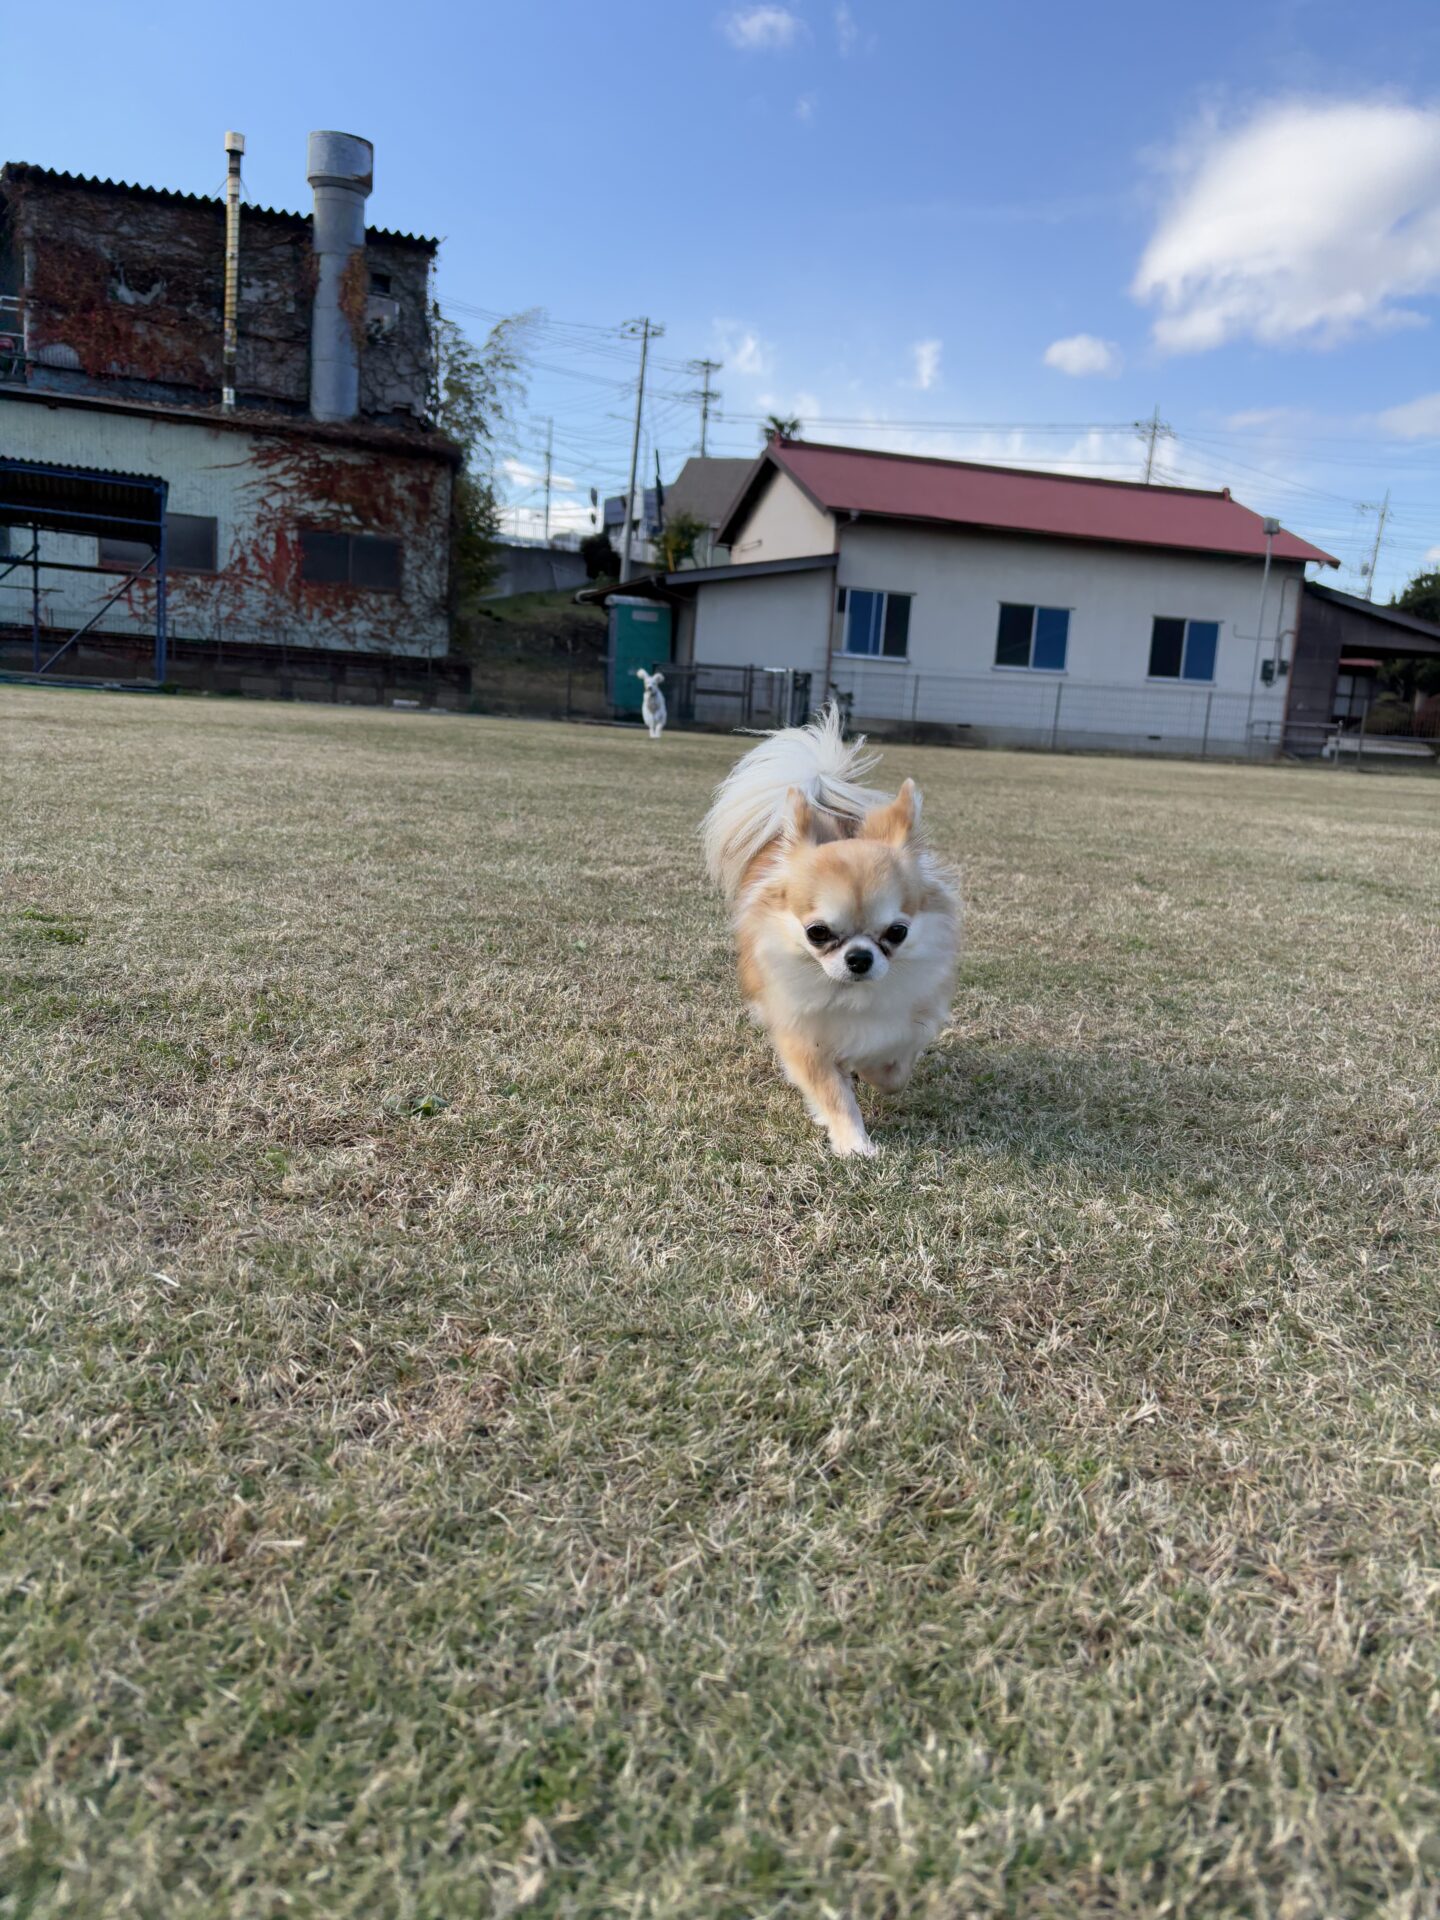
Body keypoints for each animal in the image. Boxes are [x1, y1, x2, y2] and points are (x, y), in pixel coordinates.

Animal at [703, 707, 960, 1157]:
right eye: (818, 933)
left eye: (897, 932)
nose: (859, 958)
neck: (850, 995)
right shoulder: (805, 1040)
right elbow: (833, 1094)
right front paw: (855, 1144)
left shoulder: (906, 1024)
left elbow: (894, 1070)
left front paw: (872, 1072)